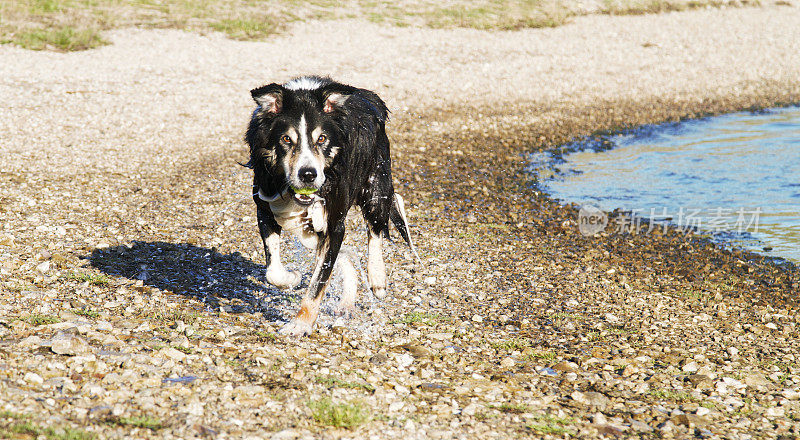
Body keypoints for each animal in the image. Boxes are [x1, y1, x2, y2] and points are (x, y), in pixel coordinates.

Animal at [244, 76, 416, 336]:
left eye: (322, 139)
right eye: (286, 139)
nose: (308, 175)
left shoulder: (335, 223)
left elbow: (319, 281)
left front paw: (300, 324)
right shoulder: (265, 208)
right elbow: (273, 271)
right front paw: (293, 278)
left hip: (376, 185)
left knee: (375, 229)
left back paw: (377, 278)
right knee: (342, 254)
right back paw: (346, 300)